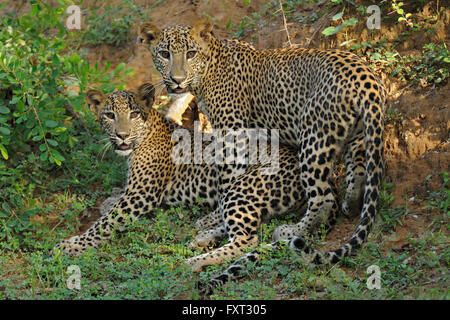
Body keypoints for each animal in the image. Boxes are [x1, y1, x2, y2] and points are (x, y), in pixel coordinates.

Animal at [54, 83, 314, 270]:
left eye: (134, 114)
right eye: (109, 115)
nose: (122, 135)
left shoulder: (141, 194)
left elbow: (105, 223)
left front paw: (72, 245)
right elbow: (113, 203)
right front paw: (107, 202)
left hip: (243, 187)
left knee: (246, 239)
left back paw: (193, 261)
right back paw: (203, 236)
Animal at [139, 18, 384, 274]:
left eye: (190, 53)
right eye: (164, 54)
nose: (177, 80)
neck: (207, 71)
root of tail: (365, 75)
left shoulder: (232, 131)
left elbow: (226, 181)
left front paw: (213, 217)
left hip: (313, 137)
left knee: (323, 196)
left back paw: (291, 230)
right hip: (358, 133)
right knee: (358, 170)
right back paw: (350, 205)